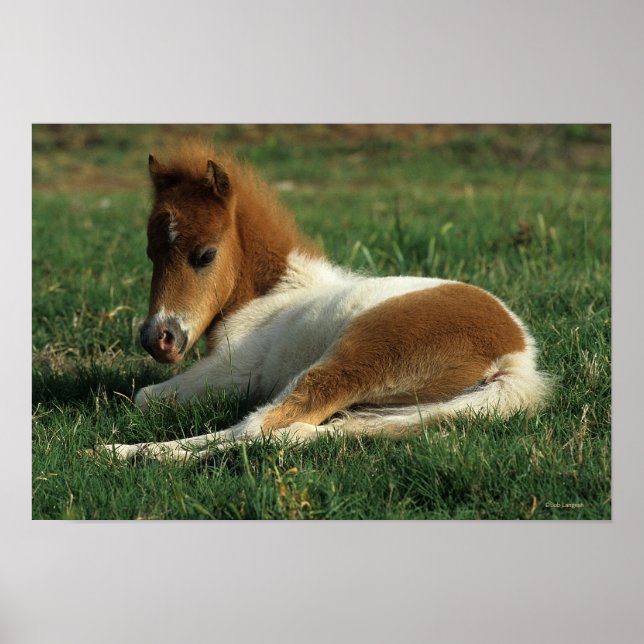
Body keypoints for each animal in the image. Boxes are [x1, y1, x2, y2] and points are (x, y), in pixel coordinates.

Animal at [100, 140, 551, 462]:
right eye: (150, 253)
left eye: (205, 254)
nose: (158, 338)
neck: (274, 294)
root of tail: (514, 356)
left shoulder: (233, 373)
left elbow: (144, 398)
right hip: (410, 409)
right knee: (303, 432)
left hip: (354, 360)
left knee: (259, 427)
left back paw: (123, 453)